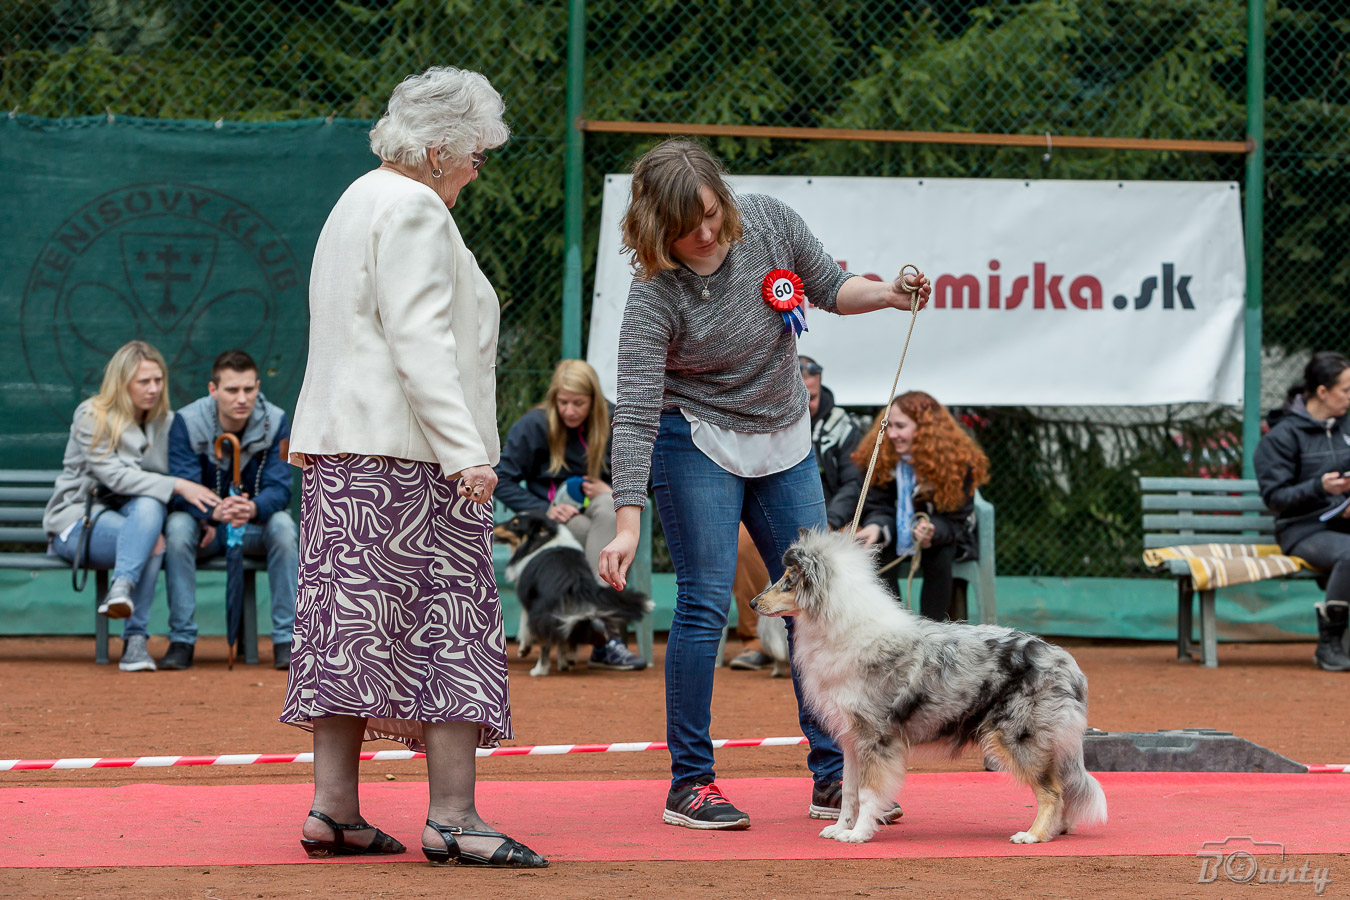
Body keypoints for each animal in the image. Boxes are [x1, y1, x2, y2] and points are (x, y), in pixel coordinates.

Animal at [493, 511, 651, 677]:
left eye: (514, 524)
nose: (494, 525)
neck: (545, 539)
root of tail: (576, 582)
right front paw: (564, 659)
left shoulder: (528, 600)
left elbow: (524, 626)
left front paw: (524, 649)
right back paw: (569, 658)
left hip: (542, 611)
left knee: (547, 641)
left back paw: (540, 670)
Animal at [752, 529, 1107, 845]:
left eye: (788, 582)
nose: (754, 603)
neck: (841, 628)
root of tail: (1068, 663)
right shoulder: (851, 740)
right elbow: (850, 792)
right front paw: (841, 829)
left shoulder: (875, 739)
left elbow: (867, 793)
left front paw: (859, 834)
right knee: (1063, 790)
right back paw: (1056, 830)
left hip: (1019, 737)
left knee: (1053, 792)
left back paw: (1033, 835)